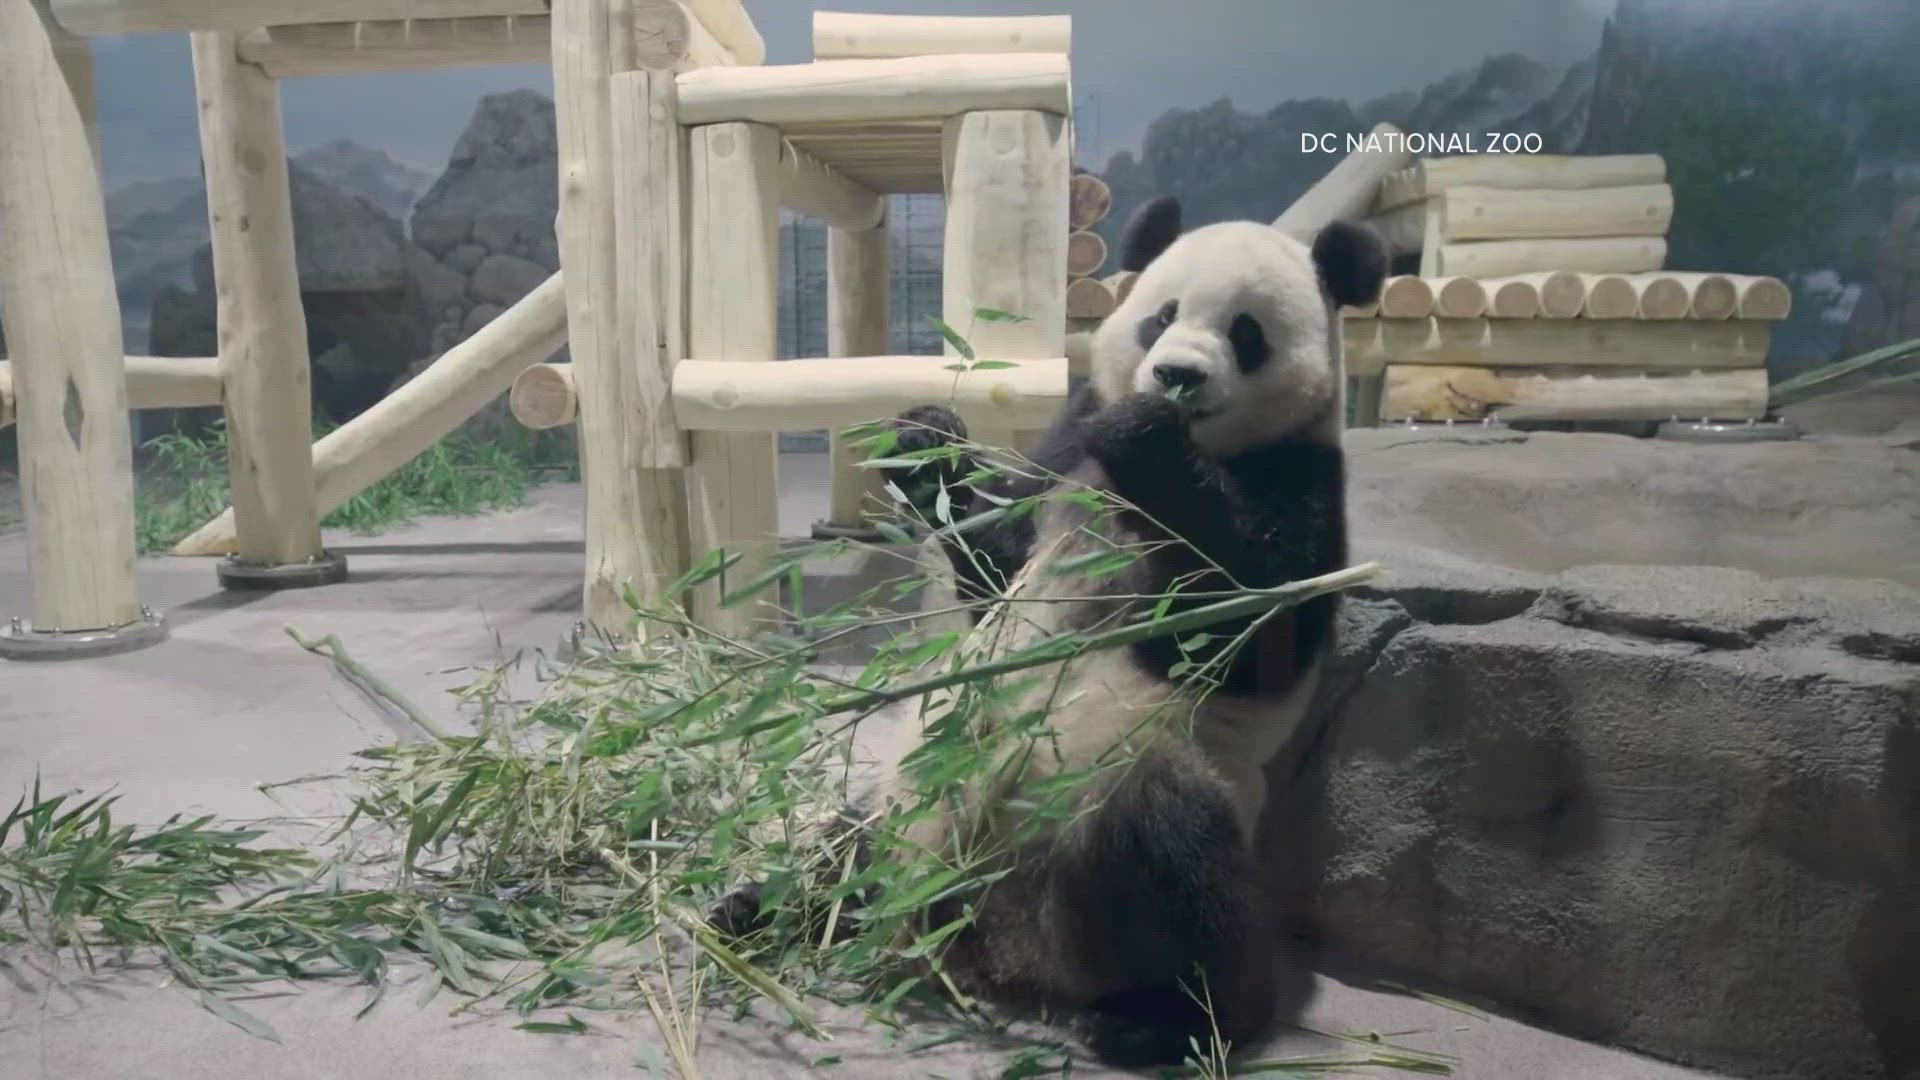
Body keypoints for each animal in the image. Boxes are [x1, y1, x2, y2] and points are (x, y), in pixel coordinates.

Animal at [714, 197, 1390, 1060]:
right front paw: (925, 445)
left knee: (1182, 872)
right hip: (908, 794)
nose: (1176, 376)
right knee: (851, 848)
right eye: (1162, 316)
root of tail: (998, 941)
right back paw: (768, 910)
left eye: (1245, 333)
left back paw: (1165, 1024)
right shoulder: (1065, 450)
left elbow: (1245, 628)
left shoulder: (1298, 478)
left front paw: (1147, 439)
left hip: (1128, 781)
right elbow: (994, 563)